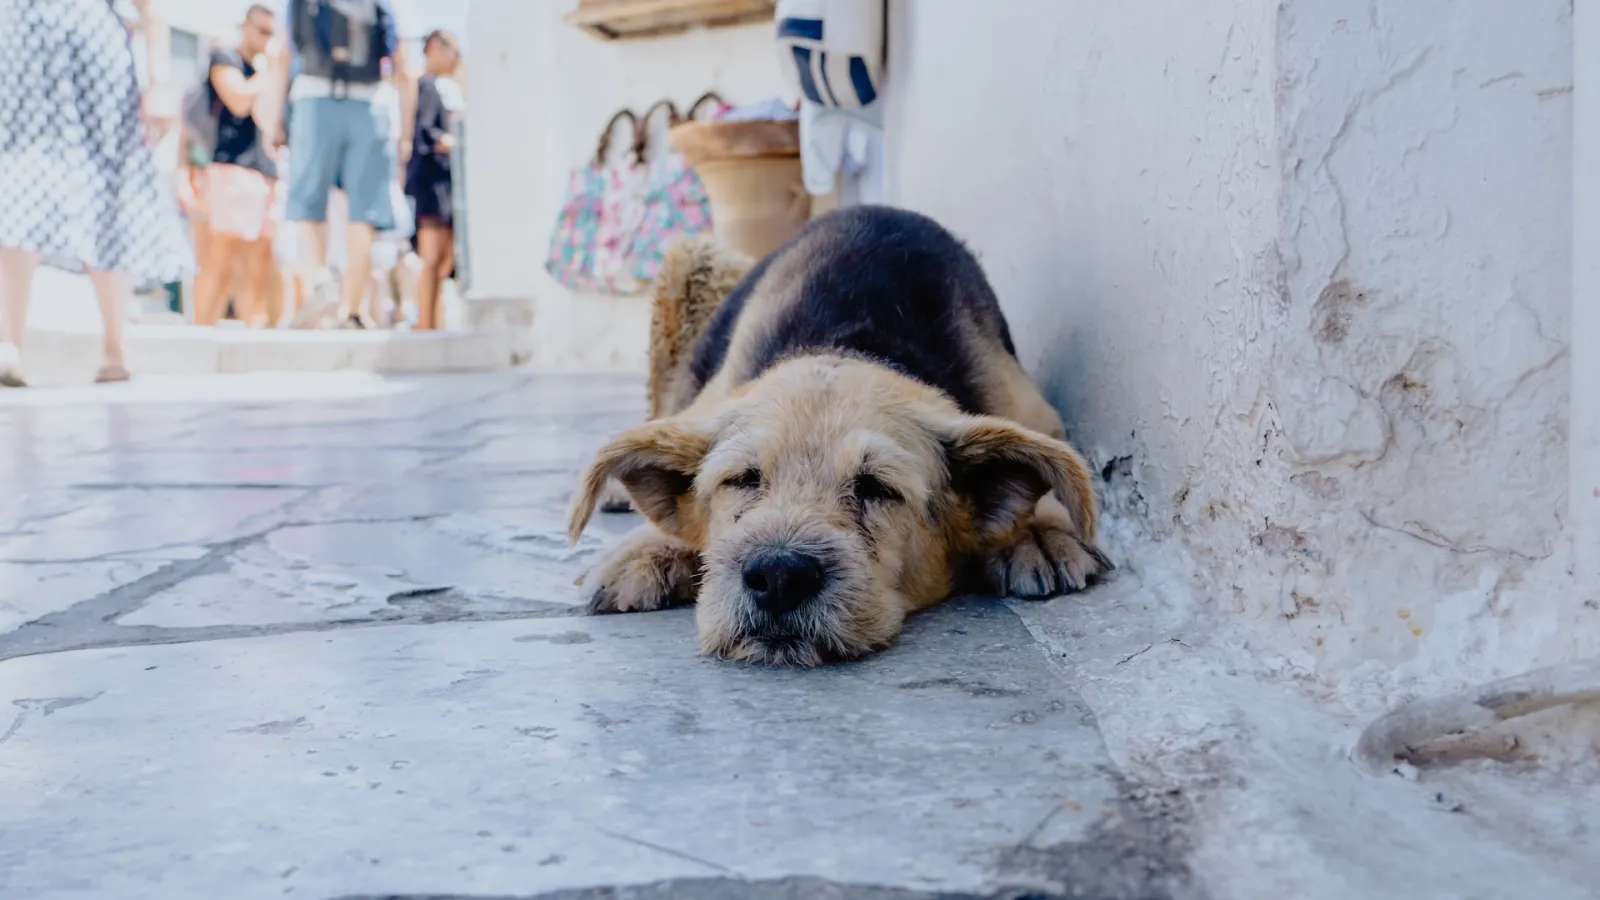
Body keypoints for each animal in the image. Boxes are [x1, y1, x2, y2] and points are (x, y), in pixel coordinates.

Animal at [572, 204, 1113, 666]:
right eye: (742, 479)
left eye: (877, 487)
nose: (778, 576)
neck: (849, 341)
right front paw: (646, 548)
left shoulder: (1033, 410)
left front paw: (1036, 531)